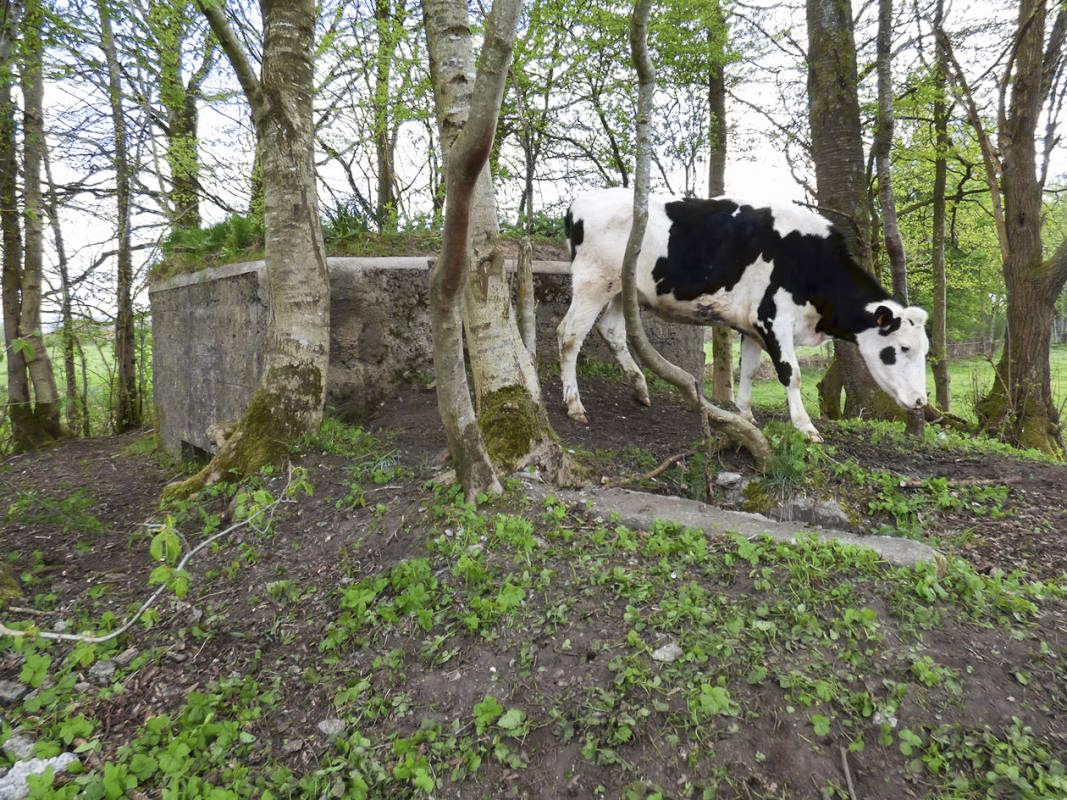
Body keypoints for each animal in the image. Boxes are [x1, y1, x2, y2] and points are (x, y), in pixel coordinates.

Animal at [557, 187, 929, 442]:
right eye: (903, 348)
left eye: (925, 350)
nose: (921, 400)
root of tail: (579, 202)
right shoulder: (773, 319)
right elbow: (791, 374)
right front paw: (805, 427)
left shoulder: (753, 327)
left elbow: (748, 370)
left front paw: (746, 415)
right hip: (593, 281)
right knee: (569, 335)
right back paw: (574, 405)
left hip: (622, 289)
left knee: (612, 331)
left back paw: (639, 387)